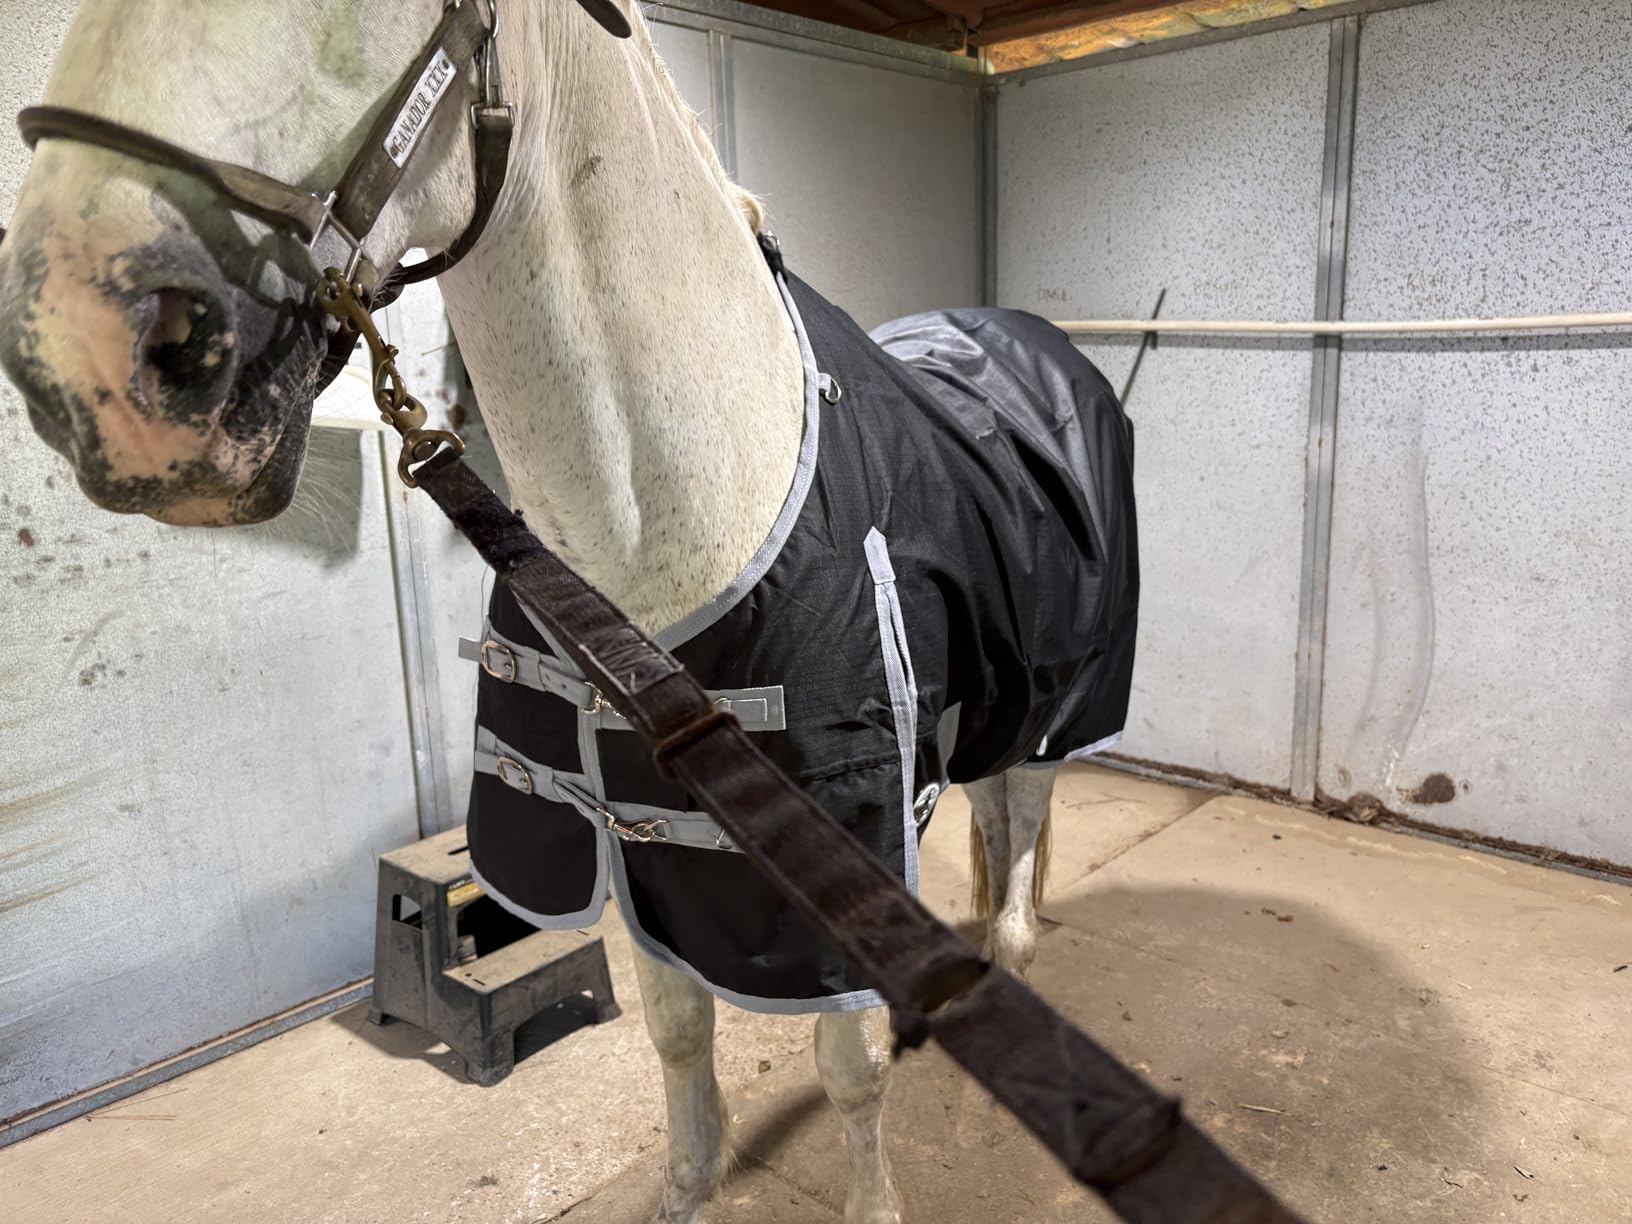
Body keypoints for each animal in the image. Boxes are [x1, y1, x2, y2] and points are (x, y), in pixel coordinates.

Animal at [0, 2, 1137, 1220]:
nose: (76, 353)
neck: (641, 547)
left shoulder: (844, 841)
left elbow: (851, 1063)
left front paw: (873, 1204)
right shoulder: (635, 833)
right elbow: (678, 1028)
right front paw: (690, 1185)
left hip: (1054, 696)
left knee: (1026, 818)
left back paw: (1013, 961)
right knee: (998, 816)